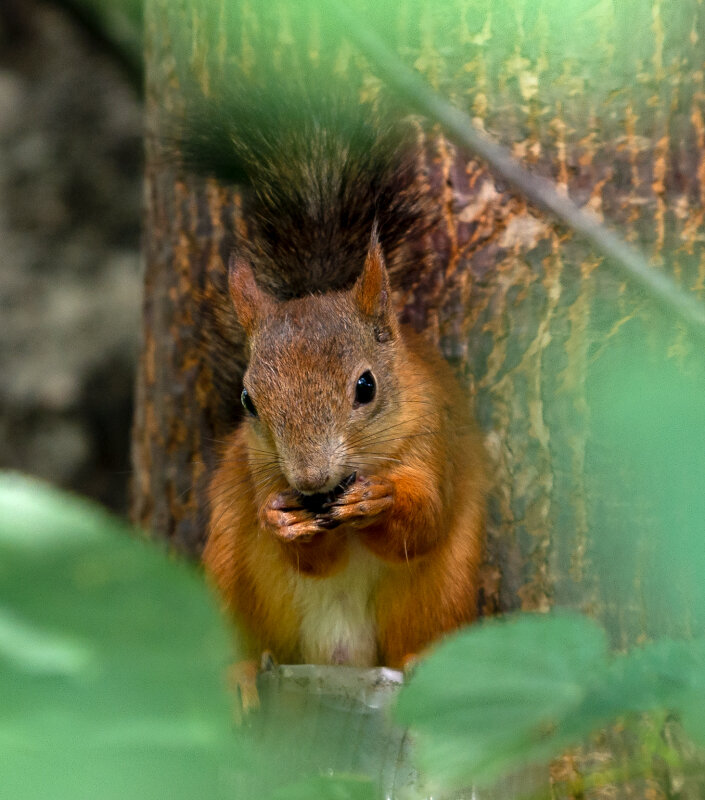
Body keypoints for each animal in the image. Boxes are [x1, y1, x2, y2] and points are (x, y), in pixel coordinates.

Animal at [176, 79, 486, 692]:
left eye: (366, 386)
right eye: (248, 401)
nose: (312, 481)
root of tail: (341, 659)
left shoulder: (434, 438)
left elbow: (426, 522)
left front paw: (380, 498)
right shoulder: (258, 470)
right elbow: (312, 560)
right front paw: (282, 519)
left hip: (447, 592)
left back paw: (421, 665)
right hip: (228, 575)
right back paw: (241, 676)